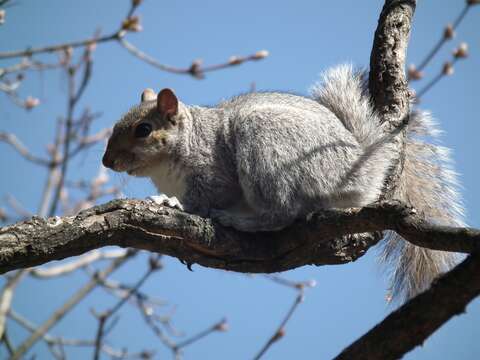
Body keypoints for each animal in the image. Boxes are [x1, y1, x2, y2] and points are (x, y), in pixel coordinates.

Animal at [102, 65, 464, 304]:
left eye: (144, 130)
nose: (106, 162)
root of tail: (357, 171)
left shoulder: (214, 171)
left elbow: (207, 197)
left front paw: (173, 204)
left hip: (268, 143)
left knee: (282, 213)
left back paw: (241, 220)